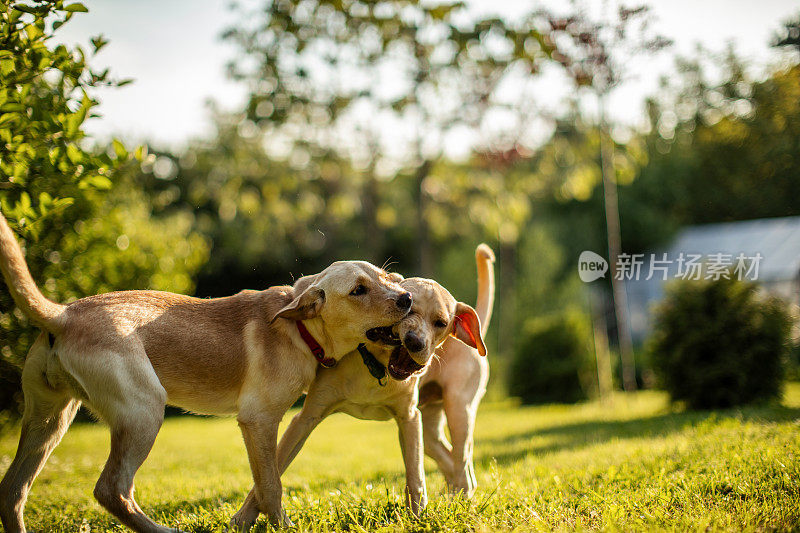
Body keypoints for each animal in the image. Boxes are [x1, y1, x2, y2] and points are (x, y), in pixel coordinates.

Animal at [0, 212, 412, 532]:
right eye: (358, 291)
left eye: (387, 278)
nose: (407, 298)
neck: (298, 330)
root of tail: (63, 315)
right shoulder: (258, 421)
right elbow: (270, 486)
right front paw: (281, 526)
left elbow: (264, 485)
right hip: (143, 411)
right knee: (112, 490)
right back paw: (162, 531)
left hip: (48, 421)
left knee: (13, 490)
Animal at [228, 272, 484, 528]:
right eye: (410, 310)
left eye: (440, 323)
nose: (414, 342)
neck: (375, 368)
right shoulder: (305, 418)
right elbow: (271, 470)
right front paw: (244, 518)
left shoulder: (409, 418)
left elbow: (416, 475)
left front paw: (417, 517)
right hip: (431, 432)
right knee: (451, 461)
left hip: (458, 412)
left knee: (463, 464)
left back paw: (462, 503)